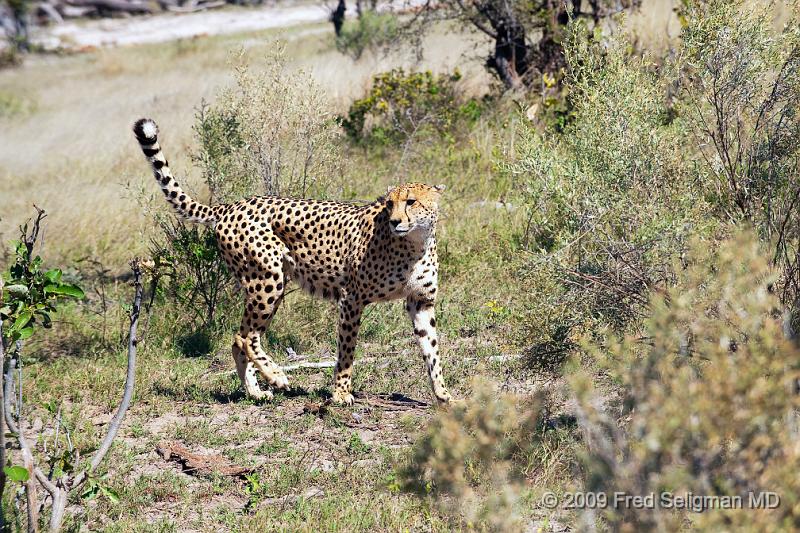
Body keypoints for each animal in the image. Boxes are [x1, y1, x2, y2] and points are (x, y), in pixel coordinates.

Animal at [133, 118, 452, 406]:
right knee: (246, 337)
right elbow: (347, 350)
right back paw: (276, 376)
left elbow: (432, 350)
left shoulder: (420, 302)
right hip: (267, 279)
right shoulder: (351, 298)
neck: (415, 243)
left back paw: (256, 391)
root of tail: (231, 206)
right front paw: (340, 394)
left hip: (270, 284)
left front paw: (443, 395)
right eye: (389, 204)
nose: (396, 221)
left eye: (410, 201)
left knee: (240, 338)